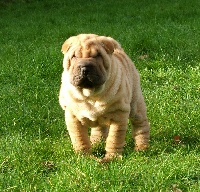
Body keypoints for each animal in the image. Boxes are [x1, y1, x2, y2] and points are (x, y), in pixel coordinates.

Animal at [59, 33, 150, 162]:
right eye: (74, 56)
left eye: (98, 56)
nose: (85, 67)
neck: (90, 95)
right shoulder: (73, 117)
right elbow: (80, 138)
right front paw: (84, 157)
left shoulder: (119, 115)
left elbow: (114, 139)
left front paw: (111, 158)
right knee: (99, 129)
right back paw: (96, 143)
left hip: (135, 104)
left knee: (141, 124)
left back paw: (141, 147)